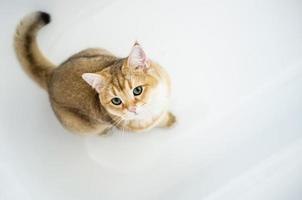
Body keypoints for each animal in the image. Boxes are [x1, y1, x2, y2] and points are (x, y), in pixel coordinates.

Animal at [14, 11, 176, 135]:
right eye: (116, 101)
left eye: (137, 90)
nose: (132, 109)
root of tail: (53, 74)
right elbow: (161, 121)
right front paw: (170, 121)